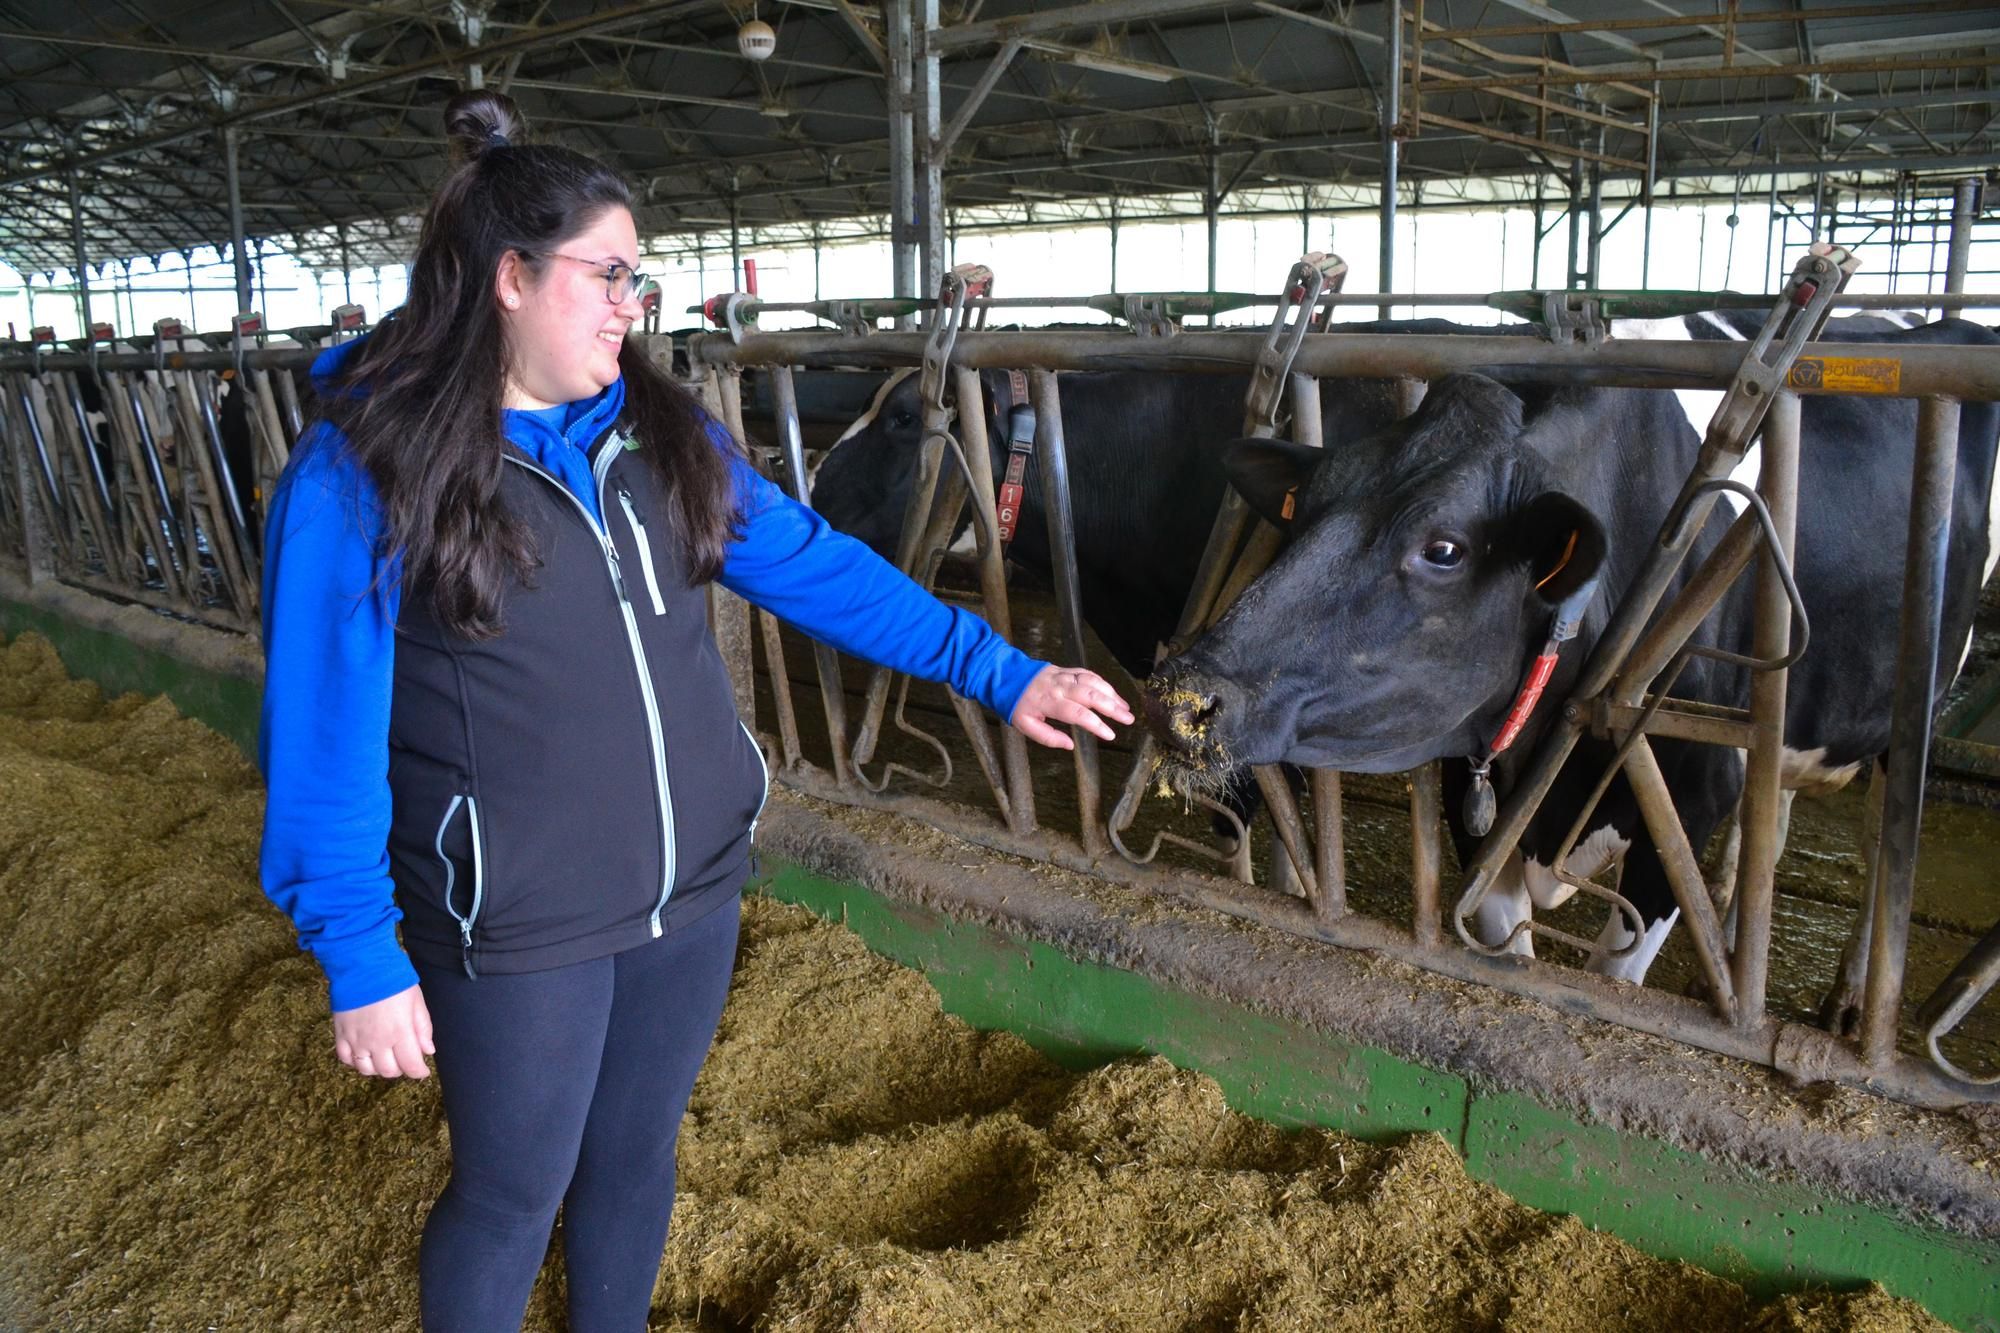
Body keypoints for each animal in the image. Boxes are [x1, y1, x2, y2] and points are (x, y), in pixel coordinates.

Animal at [1144, 314, 2000, 1016]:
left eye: (1444, 548)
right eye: (1305, 507)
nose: (1181, 697)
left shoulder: (1684, 805)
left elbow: (1613, 976)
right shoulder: (1476, 796)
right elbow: (1505, 942)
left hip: (1917, 703)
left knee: (1884, 843)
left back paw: (1850, 997)